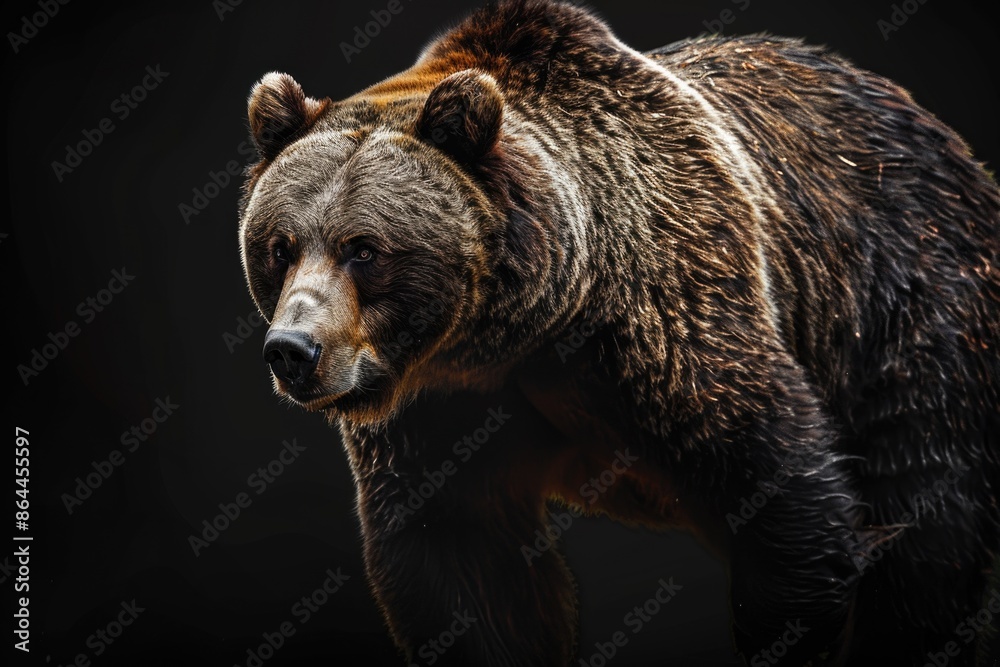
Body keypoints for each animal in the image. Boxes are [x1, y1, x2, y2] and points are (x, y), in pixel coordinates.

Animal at [237, 1, 1000, 664]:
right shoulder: (442, 408)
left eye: (364, 248)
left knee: (927, 517)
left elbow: (789, 505)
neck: (526, 329)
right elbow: (462, 568)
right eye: (279, 246)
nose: (293, 351)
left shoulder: (676, 322)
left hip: (906, 308)